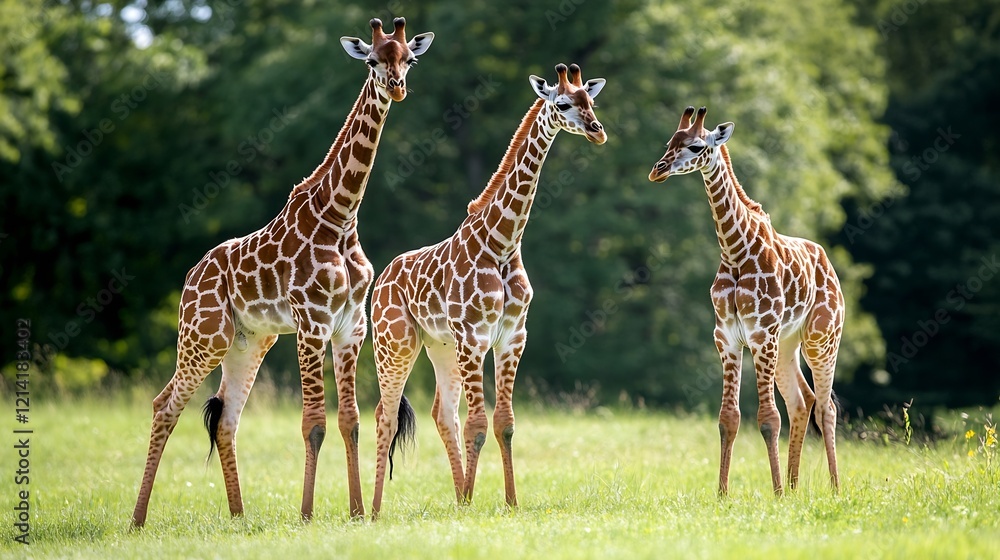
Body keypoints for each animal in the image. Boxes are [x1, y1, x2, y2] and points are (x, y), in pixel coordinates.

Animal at [130, 17, 434, 527]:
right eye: (372, 60)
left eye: (409, 59)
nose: (398, 87)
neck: (340, 215)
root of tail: (191, 277)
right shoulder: (311, 320)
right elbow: (313, 423)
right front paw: (308, 514)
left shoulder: (350, 324)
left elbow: (349, 419)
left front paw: (356, 512)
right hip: (203, 335)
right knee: (163, 404)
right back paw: (137, 519)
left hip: (249, 341)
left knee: (227, 417)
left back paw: (238, 516)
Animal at [368, 63, 607, 517]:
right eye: (562, 104)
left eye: (591, 101)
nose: (597, 131)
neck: (502, 242)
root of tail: (383, 277)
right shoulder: (475, 335)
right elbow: (478, 424)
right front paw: (474, 504)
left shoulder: (513, 335)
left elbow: (504, 423)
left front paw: (506, 502)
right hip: (396, 342)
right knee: (385, 414)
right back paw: (372, 510)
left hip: (440, 345)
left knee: (442, 413)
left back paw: (457, 496)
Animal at [648, 106, 842, 495]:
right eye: (669, 143)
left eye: (695, 146)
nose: (657, 170)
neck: (736, 252)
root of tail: (830, 267)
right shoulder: (727, 337)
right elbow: (728, 418)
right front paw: (723, 494)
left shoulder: (761, 335)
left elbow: (768, 418)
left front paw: (776, 493)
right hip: (788, 343)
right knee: (803, 401)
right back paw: (796, 487)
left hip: (821, 339)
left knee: (826, 407)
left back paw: (832, 488)